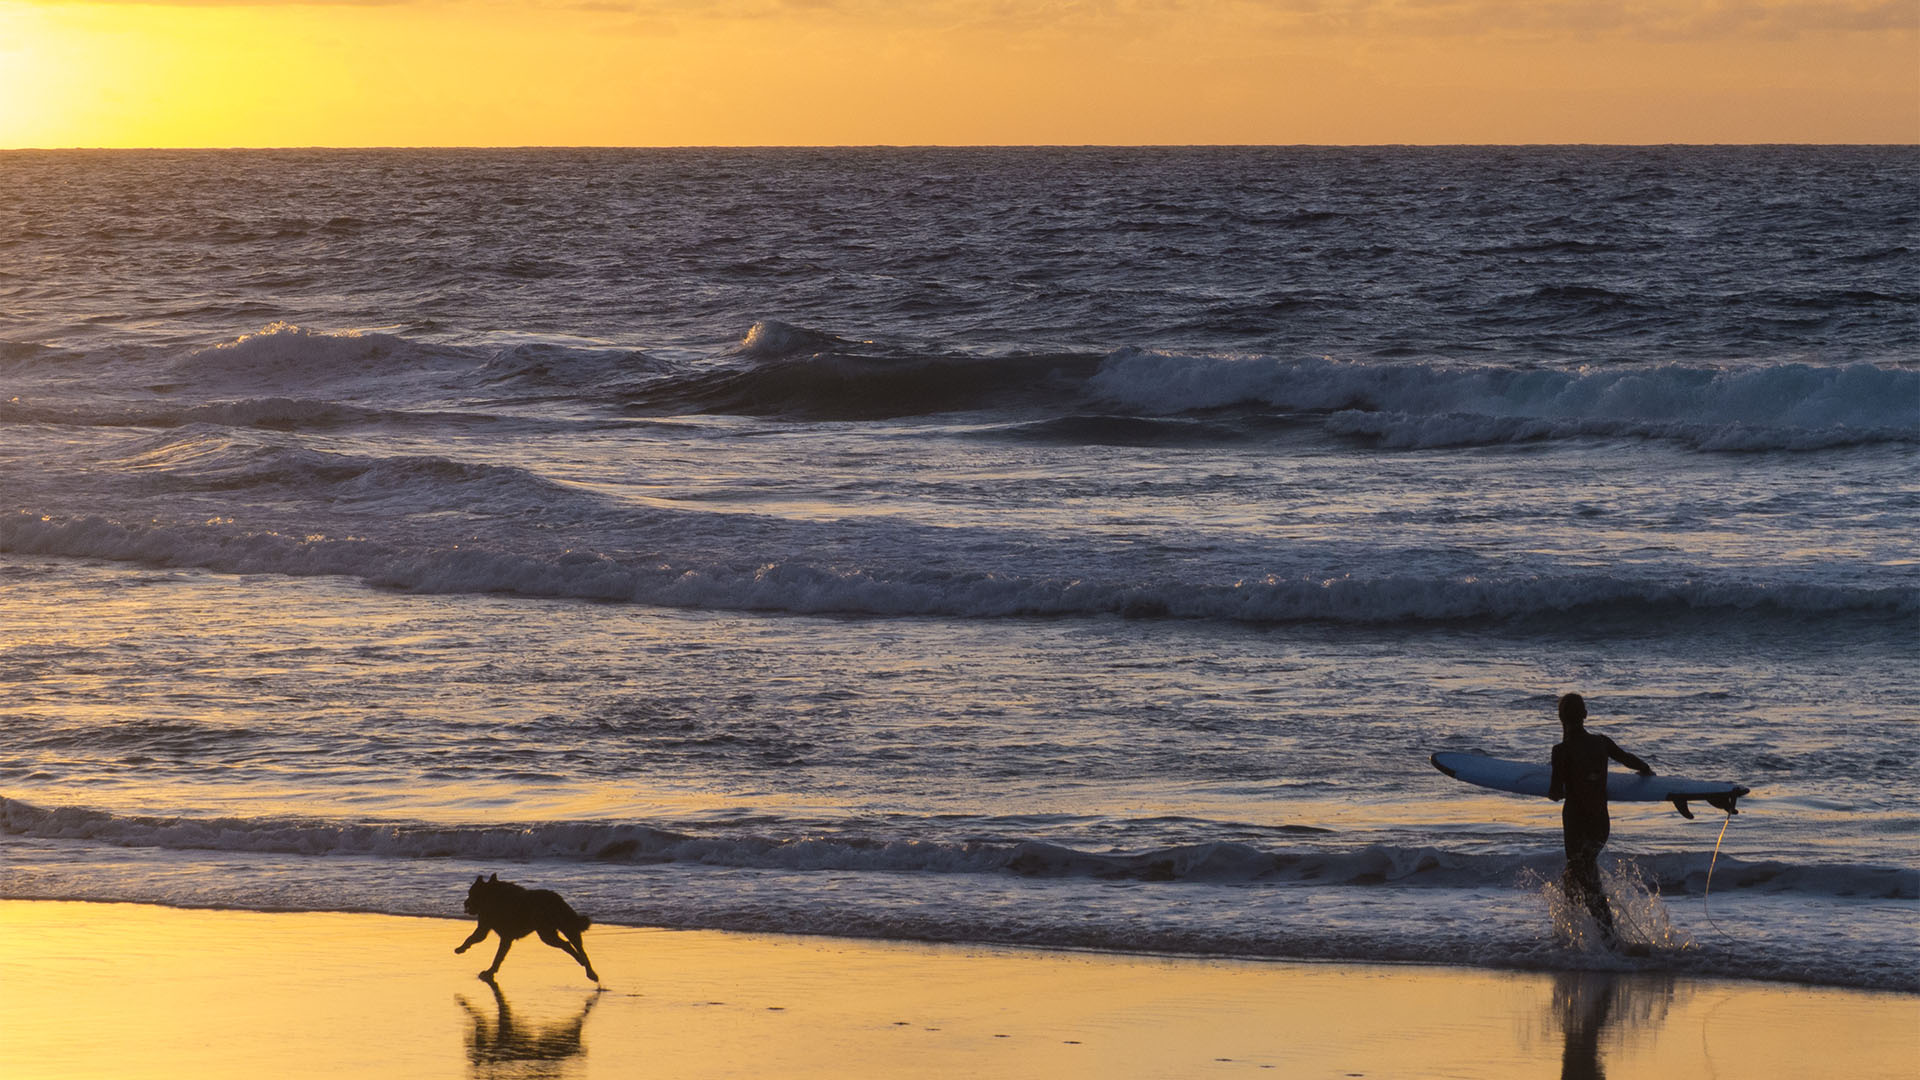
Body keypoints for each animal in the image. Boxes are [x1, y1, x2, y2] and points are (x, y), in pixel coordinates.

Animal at [453, 868, 595, 980]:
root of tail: (556, 899)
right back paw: (590, 971)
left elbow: (491, 952)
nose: (465, 903)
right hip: (564, 929)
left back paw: (583, 964)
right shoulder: (494, 932)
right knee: (579, 949)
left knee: (568, 945)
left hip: (547, 933)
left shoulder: (500, 935)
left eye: (471, 893)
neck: (492, 897)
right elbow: (485, 947)